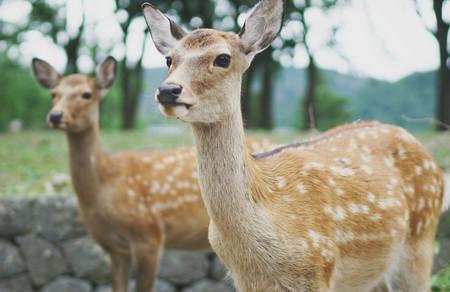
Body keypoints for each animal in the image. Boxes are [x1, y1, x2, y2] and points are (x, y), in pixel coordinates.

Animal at [30, 57, 270, 292]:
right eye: (54, 93)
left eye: (86, 94)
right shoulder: (114, 247)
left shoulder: (148, 234)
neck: (104, 187)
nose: (55, 115)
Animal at [142, 1, 448, 290]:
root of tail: (435, 165)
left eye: (223, 58)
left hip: (420, 239)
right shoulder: (243, 278)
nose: (168, 90)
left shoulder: (318, 267)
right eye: (169, 59)